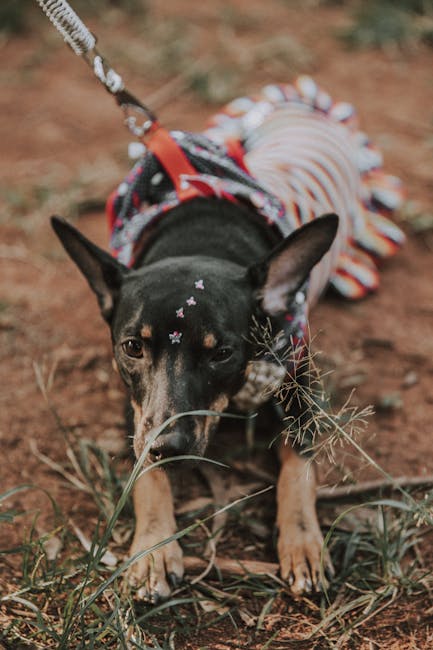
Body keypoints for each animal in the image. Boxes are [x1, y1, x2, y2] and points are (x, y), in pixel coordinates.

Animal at [51, 78, 404, 600]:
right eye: (133, 347)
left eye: (221, 353)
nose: (172, 446)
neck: (204, 236)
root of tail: (304, 101)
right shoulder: (136, 408)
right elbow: (145, 471)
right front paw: (153, 548)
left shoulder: (301, 388)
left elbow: (299, 468)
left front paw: (303, 543)